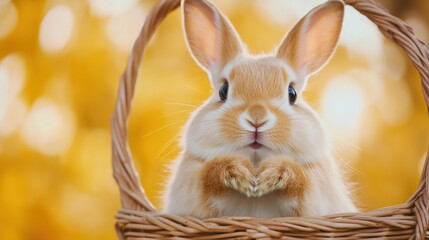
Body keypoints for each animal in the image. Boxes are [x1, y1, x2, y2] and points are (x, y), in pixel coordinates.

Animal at [162, 0, 356, 218]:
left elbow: (301, 182)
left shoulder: (316, 193)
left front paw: (270, 176)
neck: (255, 161)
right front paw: (239, 174)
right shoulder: (192, 191)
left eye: (292, 94)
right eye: (223, 90)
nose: (257, 119)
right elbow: (207, 177)